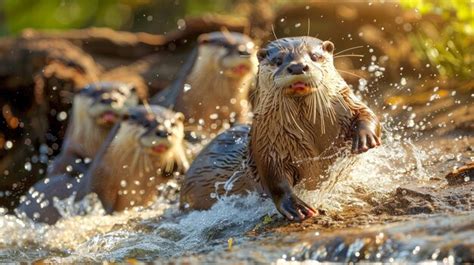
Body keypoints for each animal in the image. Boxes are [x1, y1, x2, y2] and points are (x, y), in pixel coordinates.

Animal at [180, 36, 384, 221]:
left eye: (315, 56)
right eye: (278, 60)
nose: (298, 67)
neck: (314, 134)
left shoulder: (347, 103)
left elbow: (366, 113)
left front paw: (365, 137)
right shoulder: (267, 145)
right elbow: (275, 180)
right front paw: (296, 206)